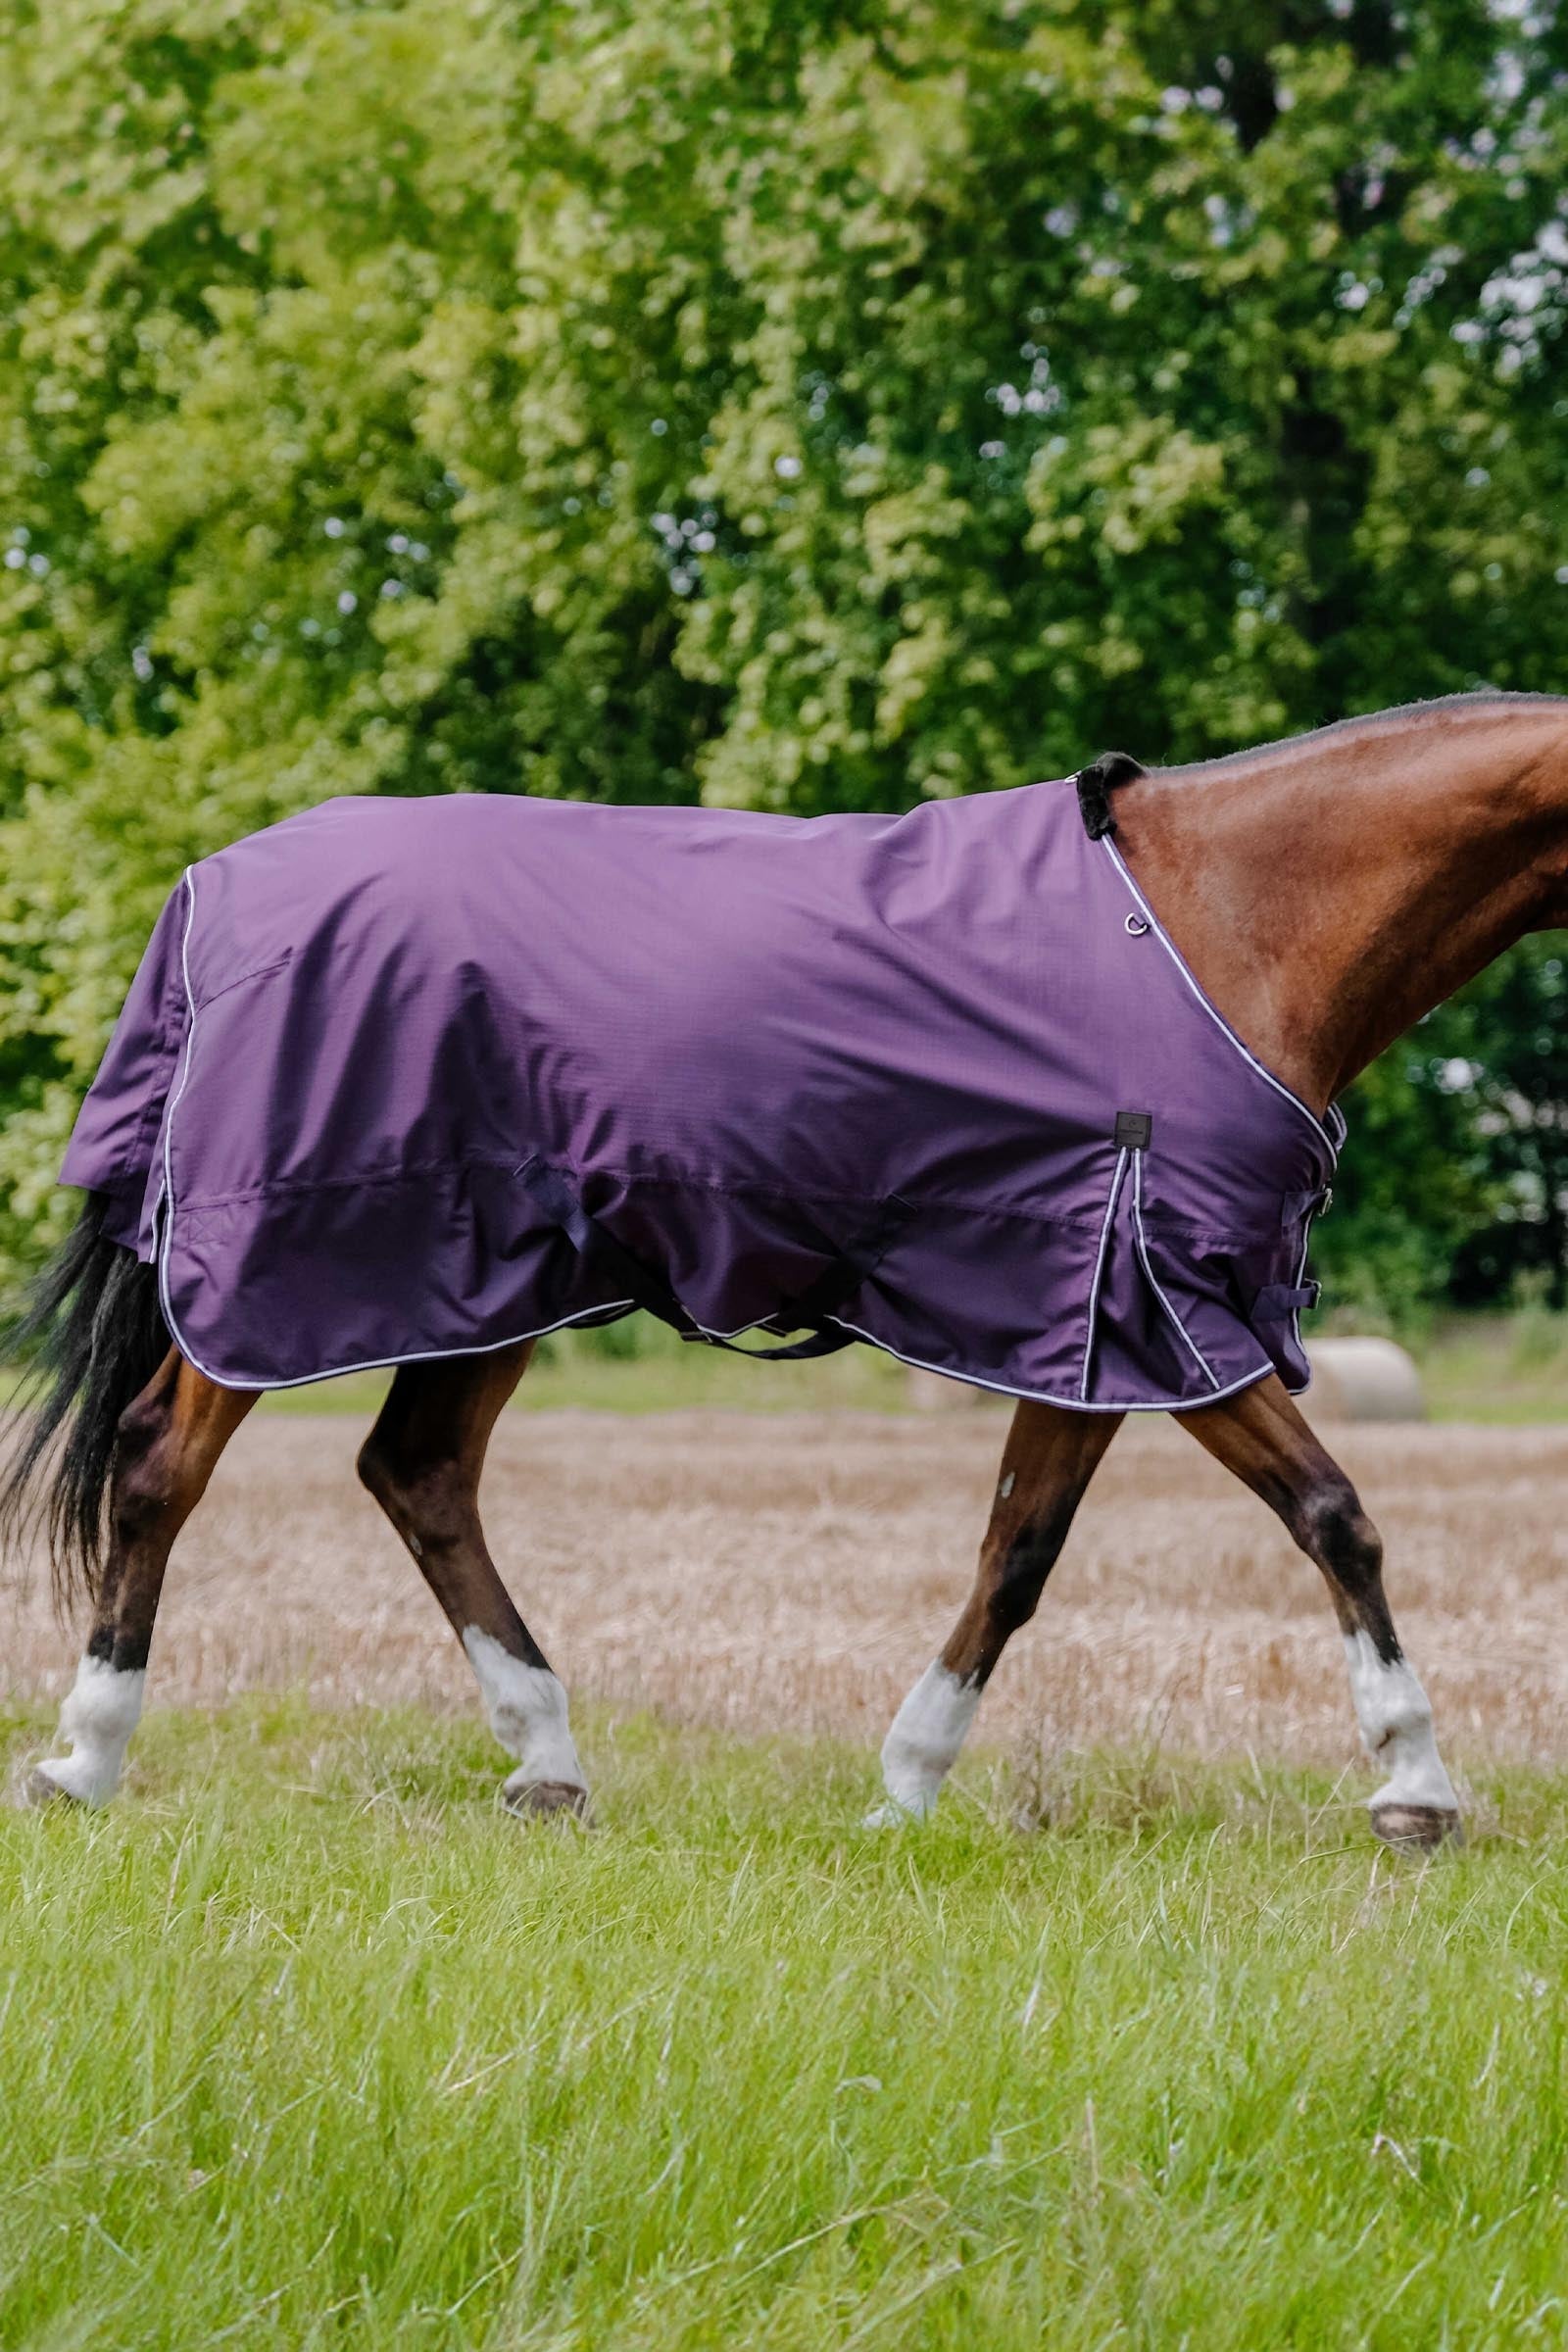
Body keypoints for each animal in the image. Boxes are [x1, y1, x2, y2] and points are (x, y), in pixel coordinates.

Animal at [7, 691, 1566, 1846]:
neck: (1225, 919)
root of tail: (215, 890)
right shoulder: (1162, 1311)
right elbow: (1332, 1514)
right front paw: (1415, 1783)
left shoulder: (1086, 1321)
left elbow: (1016, 1552)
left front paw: (908, 1785)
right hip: (286, 1269)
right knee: (159, 1463)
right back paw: (87, 1758)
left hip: (490, 1277)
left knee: (419, 1473)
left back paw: (547, 1759)